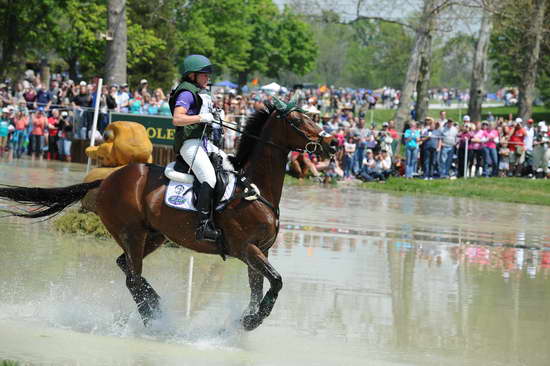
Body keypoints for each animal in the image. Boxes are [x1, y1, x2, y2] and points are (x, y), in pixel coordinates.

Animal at [0, 101, 336, 332]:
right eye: (296, 120)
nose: (332, 144)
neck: (253, 187)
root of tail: (106, 180)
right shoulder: (247, 249)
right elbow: (276, 281)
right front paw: (252, 320)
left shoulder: (260, 250)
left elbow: (257, 289)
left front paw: (245, 319)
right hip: (132, 233)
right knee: (132, 277)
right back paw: (153, 318)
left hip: (155, 236)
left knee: (126, 267)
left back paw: (155, 304)